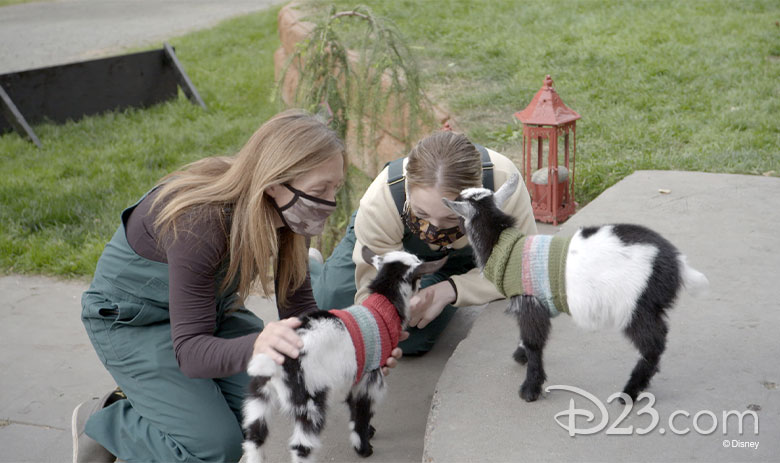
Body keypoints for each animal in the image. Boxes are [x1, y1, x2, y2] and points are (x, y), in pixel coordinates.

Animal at [241, 248, 444, 462]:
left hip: (259, 394)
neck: (383, 306)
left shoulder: (354, 375)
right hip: (310, 399)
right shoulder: (370, 378)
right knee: (302, 447)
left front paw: (369, 432)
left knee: (254, 436)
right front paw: (364, 448)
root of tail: (274, 363)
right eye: (418, 275)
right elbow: (361, 413)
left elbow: (353, 408)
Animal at [442, 174, 708, 402]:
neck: (503, 245)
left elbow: (534, 343)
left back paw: (629, 393)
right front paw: (520, 356)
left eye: (457, 209)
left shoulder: (529, 303)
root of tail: (677, 263)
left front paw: (530, 389)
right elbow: (526, 339)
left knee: (653, 345)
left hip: (636, 307)